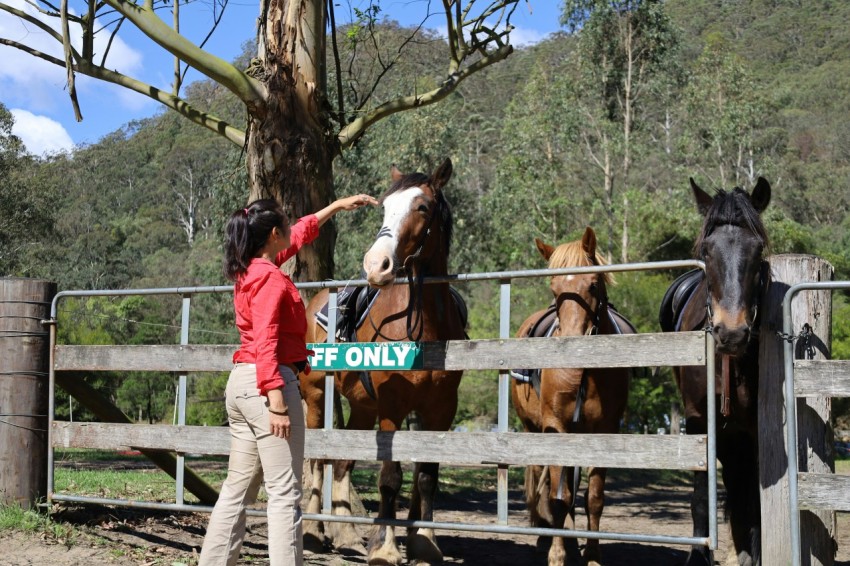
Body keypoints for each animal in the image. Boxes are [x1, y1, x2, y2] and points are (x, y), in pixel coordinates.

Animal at [302, 159, 464, 566]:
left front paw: (425, 542)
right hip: (315, 398)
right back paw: (312, 531)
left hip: (362, 407)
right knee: (316, 460)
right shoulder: (393, 406)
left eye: (422, 206)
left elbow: (427, 476)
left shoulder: (441, 409)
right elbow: (390, 477)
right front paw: (386, 548)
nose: (377, 265)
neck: (423, 326)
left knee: (342, 464)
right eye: (385, 207)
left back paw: (346, 535)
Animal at [510, 229, 628, 566]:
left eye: (593, 284)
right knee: (543, 480)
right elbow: (556, 497)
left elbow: (594, 498)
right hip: (534, 429)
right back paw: (543, 537)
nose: (573, 343)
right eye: (554, 288)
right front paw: (556, 554)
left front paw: (592, 553)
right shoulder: (555, 427)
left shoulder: (604, 431)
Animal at [660, 178, 772, 566]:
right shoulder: (698, 421)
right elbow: (700, 496)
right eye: (707, 251)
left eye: (759, 251)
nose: (732, 333)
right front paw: (699, 555)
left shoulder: (754, 430)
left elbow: (754, 502)